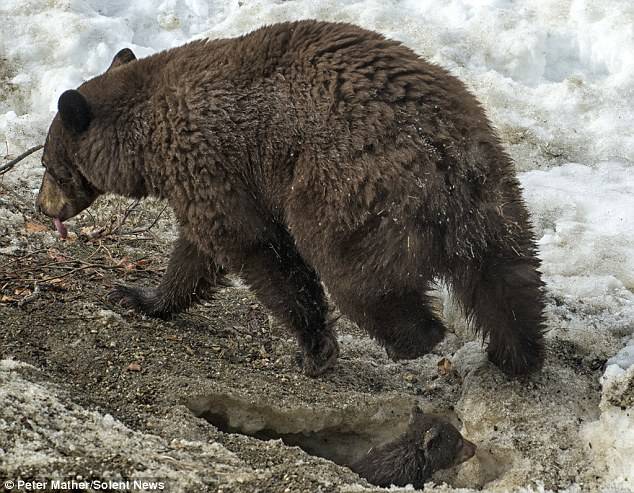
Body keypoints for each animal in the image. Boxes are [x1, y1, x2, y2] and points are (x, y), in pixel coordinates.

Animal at [35, 18, 544, 372]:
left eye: (46, 165)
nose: (42, 207)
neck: (147, 142)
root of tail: (440, 153)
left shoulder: (213, 168)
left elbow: (257, 251)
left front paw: (313, 347)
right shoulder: (212, 182)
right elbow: (199, 254)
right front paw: (139, 296)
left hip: (350, 195)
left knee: (358, 281)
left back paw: (414, 339)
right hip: (493, 195)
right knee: (510, 280)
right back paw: (517, 356)